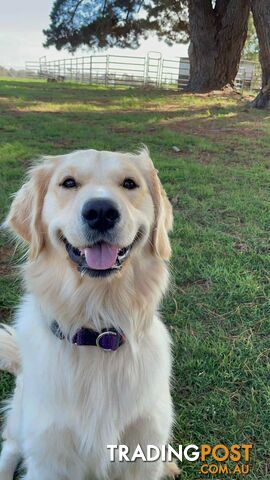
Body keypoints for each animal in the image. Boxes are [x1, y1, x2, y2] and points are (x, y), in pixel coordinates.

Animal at [0, 148, 178, 478]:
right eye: (68, 183)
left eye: (129, 183)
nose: (101, 212)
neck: (98, 331)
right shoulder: (49, 457)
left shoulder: (142, 449)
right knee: (10, 445)